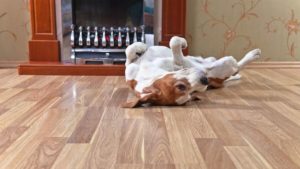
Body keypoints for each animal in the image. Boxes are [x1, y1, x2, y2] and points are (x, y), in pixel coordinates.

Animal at [123, 36, 262, 107]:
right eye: (182, 88)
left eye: (180, 86)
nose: (205, 80)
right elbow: (176, 49)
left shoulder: (131, 67)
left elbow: (129, 51)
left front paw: (140, 46)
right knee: (235, 67)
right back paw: (249, 57)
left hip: (204, 59)